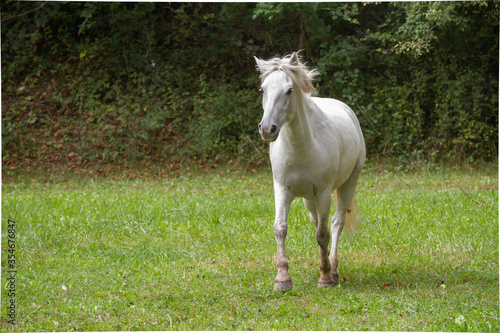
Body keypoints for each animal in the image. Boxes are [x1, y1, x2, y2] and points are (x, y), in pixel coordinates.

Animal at [256, 52, 366, 290]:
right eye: (263, 89)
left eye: (289, 90)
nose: (267, 129)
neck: (301, 147)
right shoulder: (282, 190)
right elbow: (280, 228)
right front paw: (282, 278)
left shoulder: (324, 193)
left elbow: (323, 233)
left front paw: (325, 277)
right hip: (309, 198)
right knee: (317, 222)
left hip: (348, 184)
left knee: (335, 223)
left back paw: (332, 269)